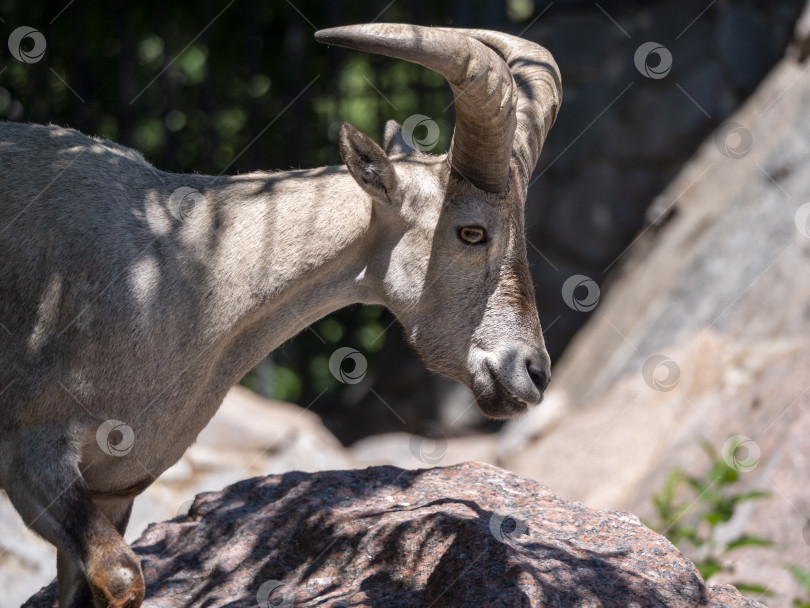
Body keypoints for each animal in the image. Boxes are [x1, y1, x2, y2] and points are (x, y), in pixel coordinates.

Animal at [0, 23, 560, 608]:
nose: (533, 372)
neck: (177, 267)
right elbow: (121, 576)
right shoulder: (31, 451)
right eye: (471, 231)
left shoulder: (115, 485)